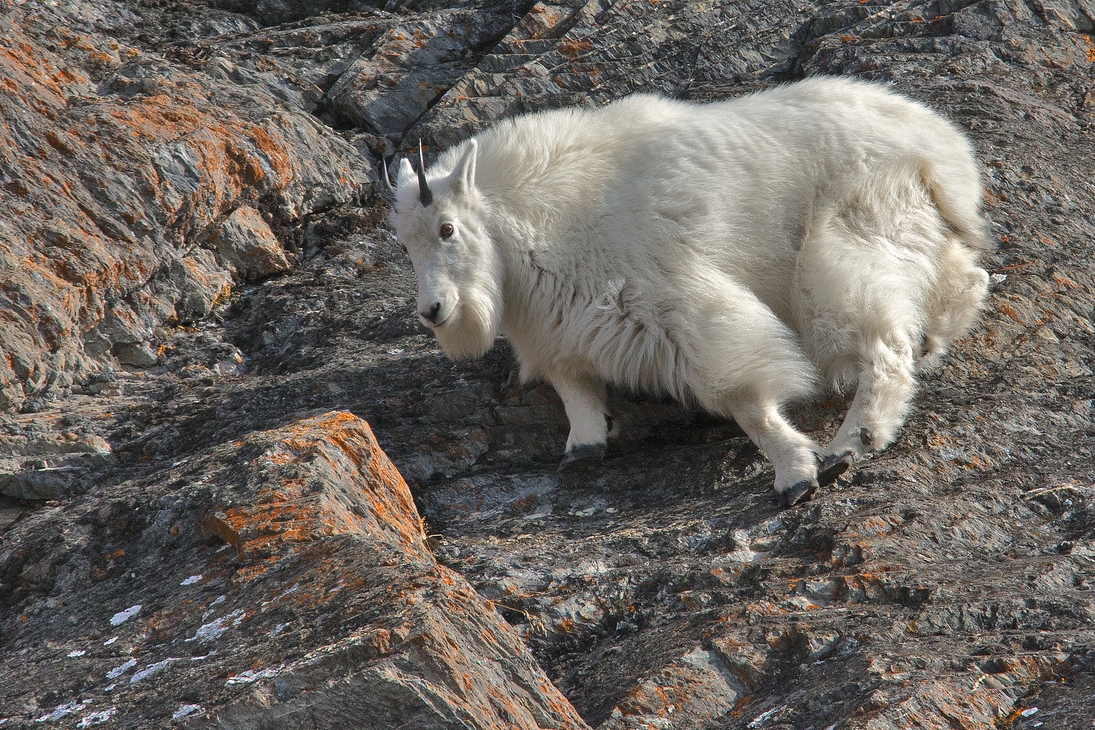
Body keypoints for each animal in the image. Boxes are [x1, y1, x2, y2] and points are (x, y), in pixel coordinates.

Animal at [387, 75, 994, 507]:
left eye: (447, 229)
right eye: (404, 243)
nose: (434, 310)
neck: (535, 221)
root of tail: (939, 147)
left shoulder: (674, 302)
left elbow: (743, 393)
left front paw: (794, 474)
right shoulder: (561, 325)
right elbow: (572, 385)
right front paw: (583, 447)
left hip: (850, 232)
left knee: (881, 345)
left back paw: (848, 446)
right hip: (911, 226)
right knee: (967, 281)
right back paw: (931, 344)